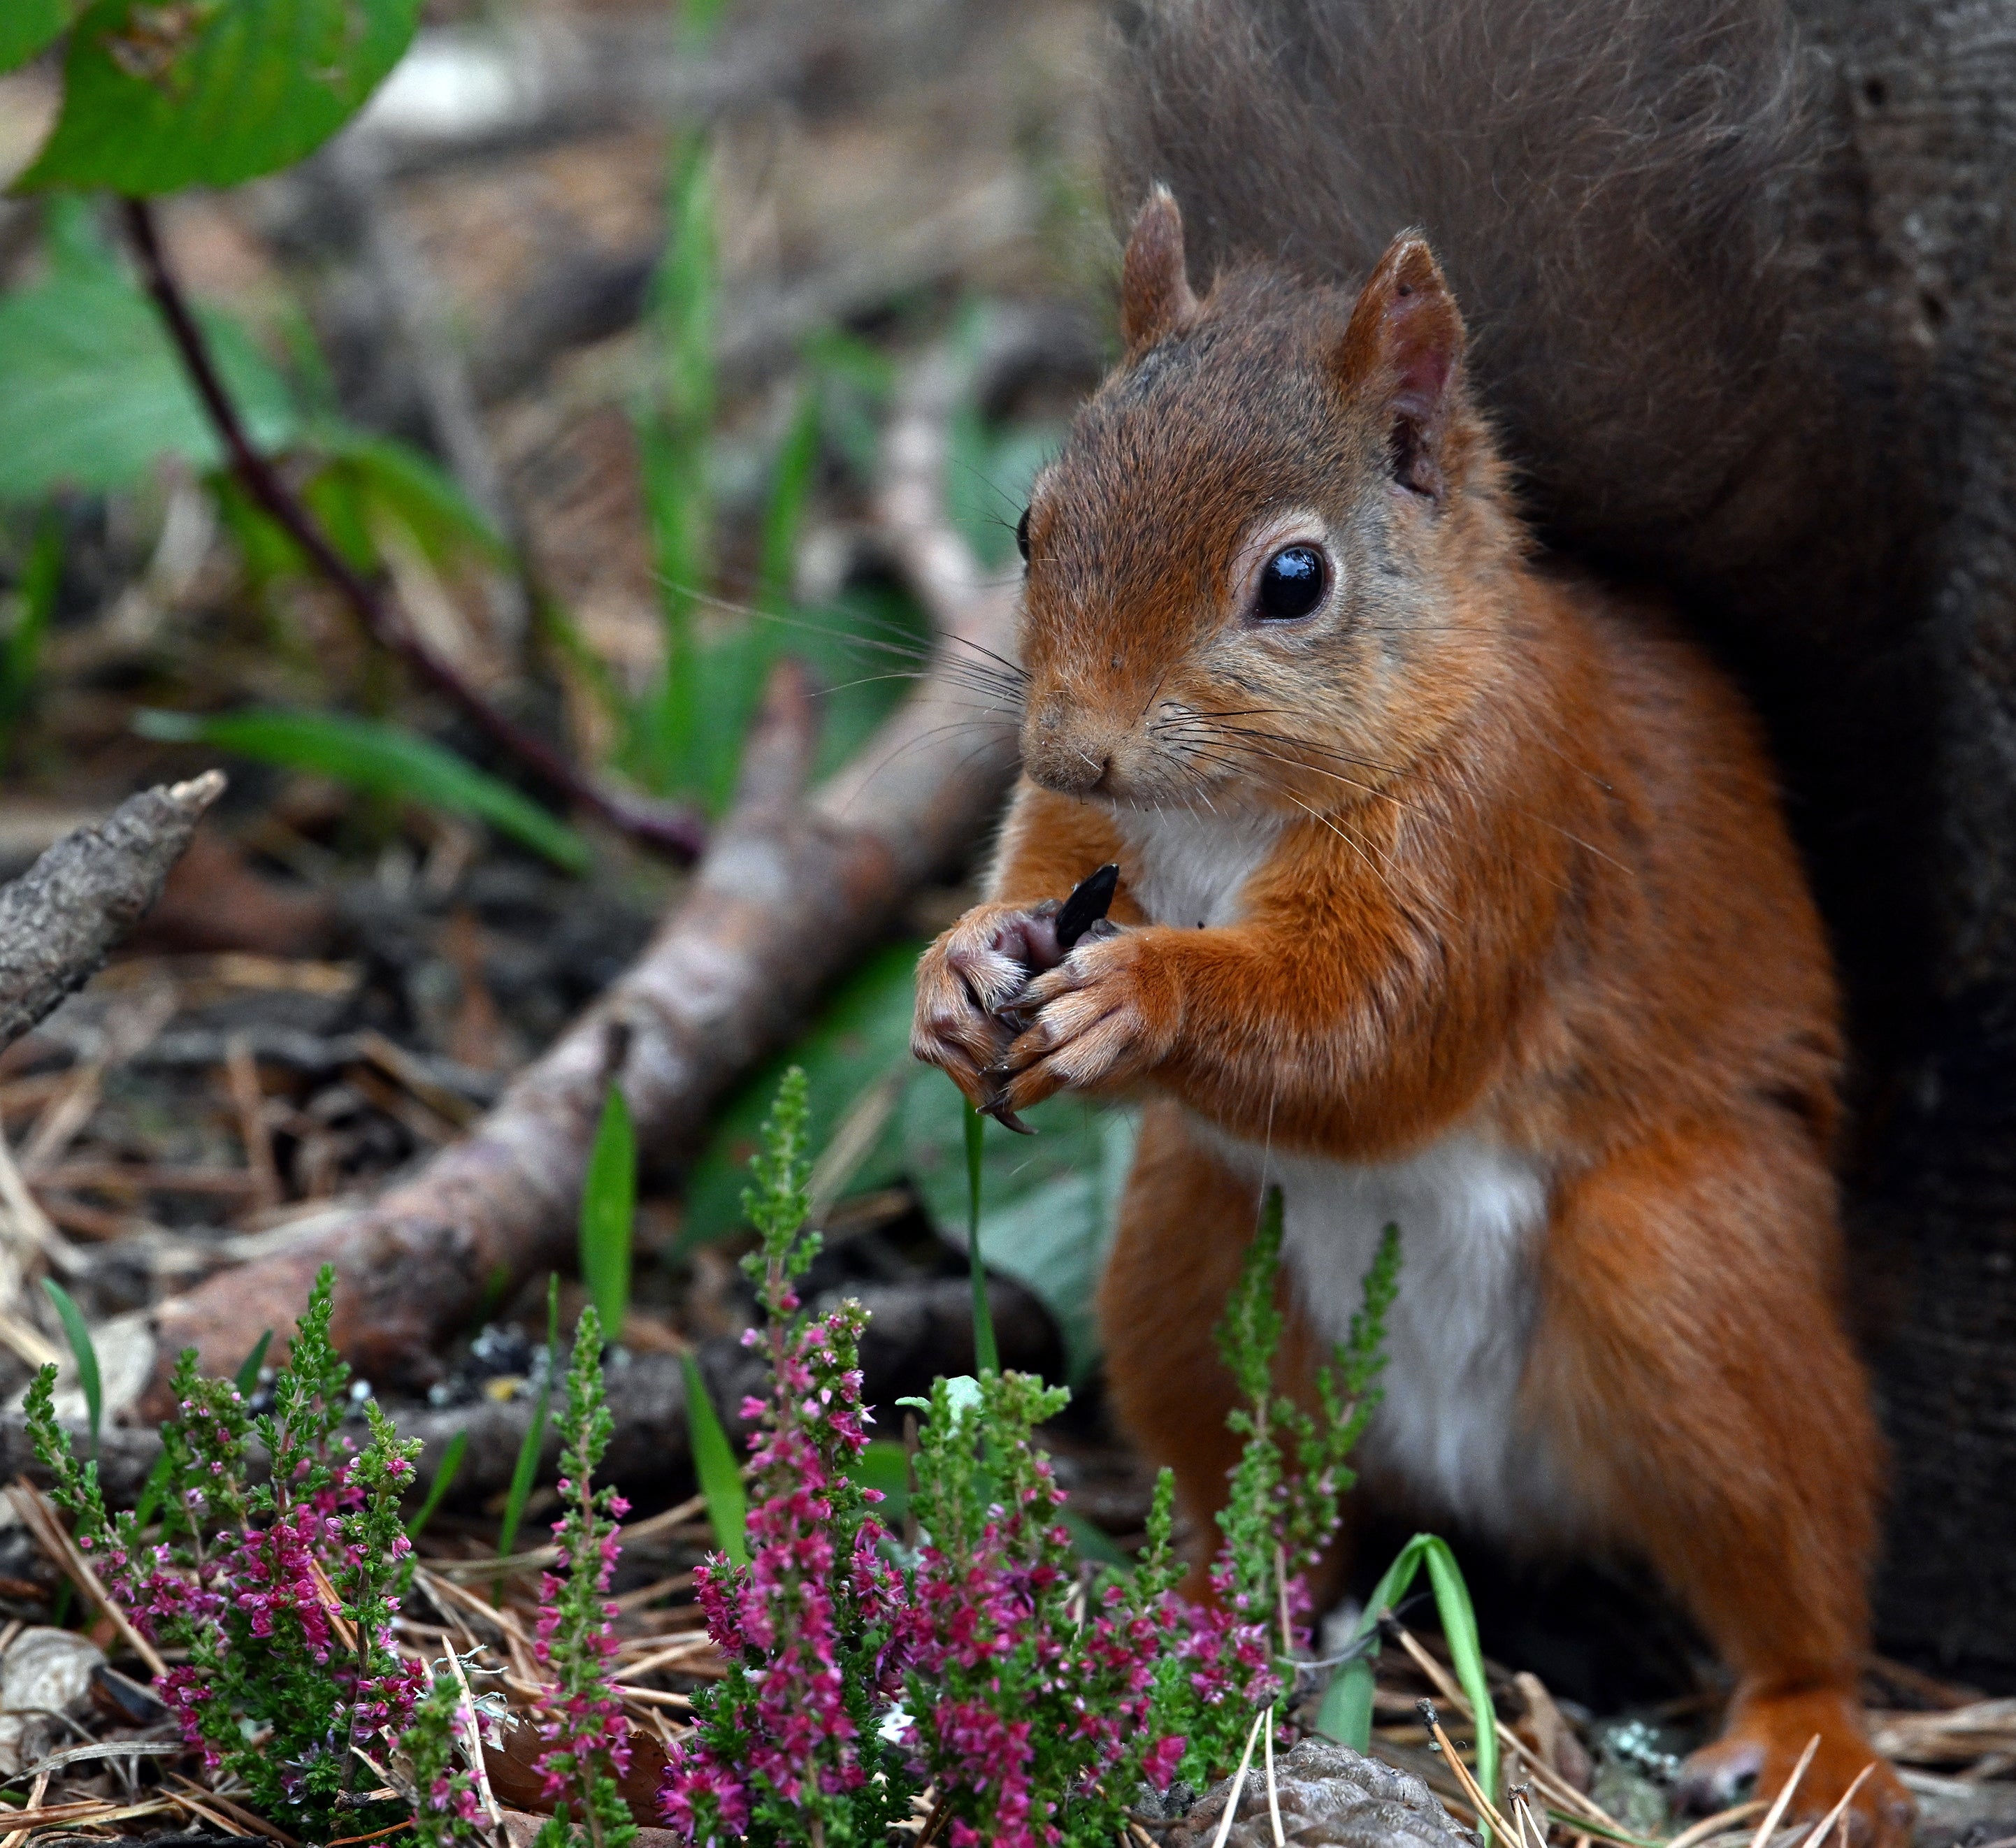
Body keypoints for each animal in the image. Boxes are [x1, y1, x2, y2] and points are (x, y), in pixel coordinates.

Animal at [911, 0, 1912, 1842]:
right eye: (1030, 521)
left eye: (1293, 581)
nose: (1072, 738)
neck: (1227, 813)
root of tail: (1478, 1483)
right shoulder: (1083, 838)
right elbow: (1034, 894)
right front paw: (959, 976)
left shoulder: (1503, 825)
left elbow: (1375, 1029)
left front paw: (1145, 996)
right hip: (1190, 1255)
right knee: (1249, 1477)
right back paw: (1198, 1606)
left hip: (1684, 1258)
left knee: (1789, 1554)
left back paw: (1810, 1731)